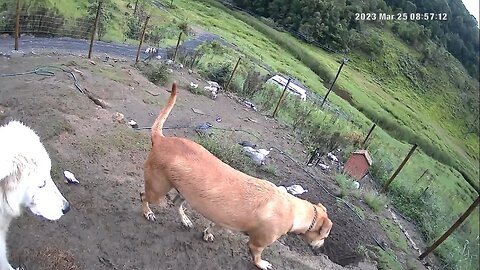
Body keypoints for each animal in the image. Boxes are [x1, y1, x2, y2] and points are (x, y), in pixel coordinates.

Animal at [141, 83, 332, 270]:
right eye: (324, 236)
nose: (321, 248)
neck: (293, 210)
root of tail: (161, 139)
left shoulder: (224, 219)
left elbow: (214, 227)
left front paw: (208, 234)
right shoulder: (257, 243)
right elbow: (257, 256)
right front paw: (262, 264)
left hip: (184, 192)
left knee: (176, 203)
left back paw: (185, 220)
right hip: (157, 190)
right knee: (144, 196)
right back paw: (148, 212)